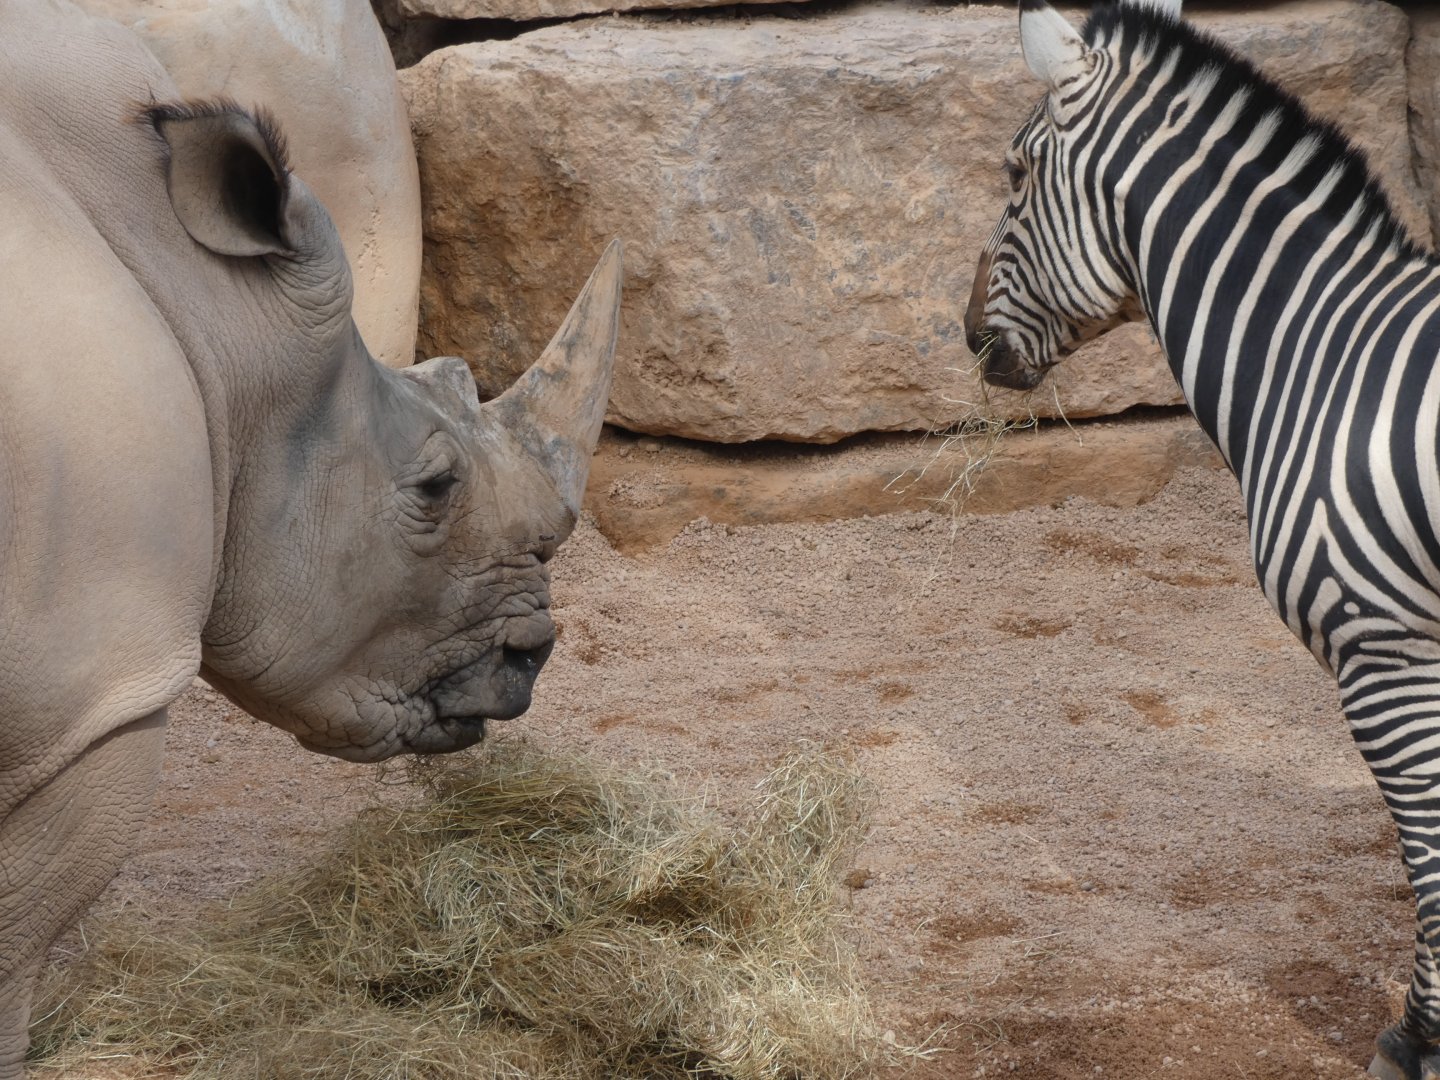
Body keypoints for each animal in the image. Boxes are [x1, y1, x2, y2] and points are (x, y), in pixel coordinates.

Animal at [964, 1, 1440, 1075]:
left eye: (1013, 174)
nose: (966, 335)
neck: (1324, 356)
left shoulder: (1386, 651)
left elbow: (1431, 855)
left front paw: (1419, 1042)